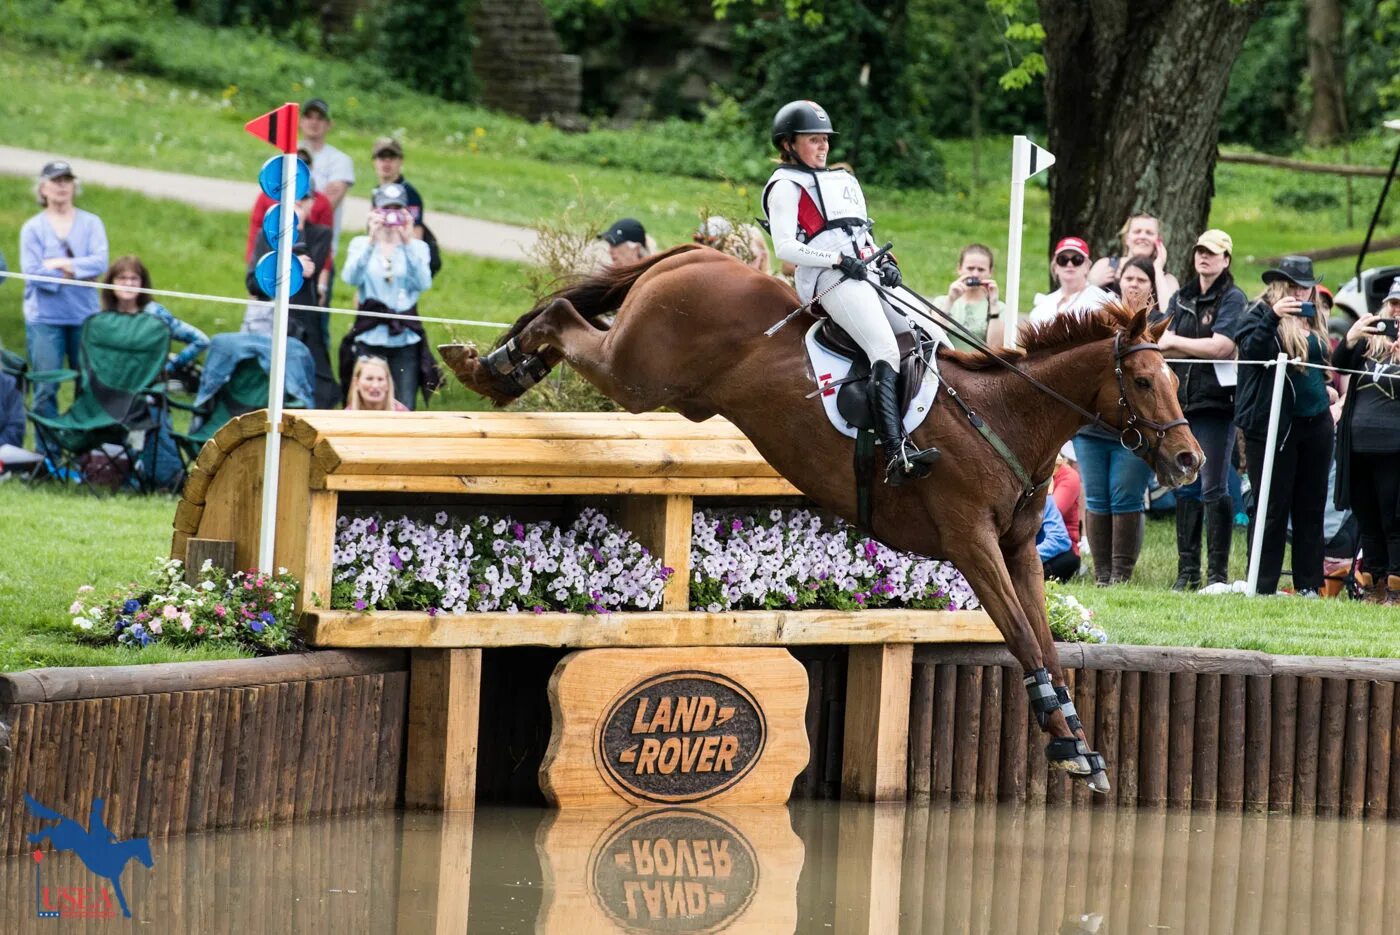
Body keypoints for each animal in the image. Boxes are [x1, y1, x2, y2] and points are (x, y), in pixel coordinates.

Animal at [445, 244, 1204, 795]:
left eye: (1176, 379)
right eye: (1144, 381)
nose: (1191, 460)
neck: (1006, 415)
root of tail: (695, 253)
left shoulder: (1018, 551)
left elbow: (1044, 643)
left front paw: (1080, 747)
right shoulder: (972, 544)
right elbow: (1022, 639)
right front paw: (1070, 748)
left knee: (568, 322)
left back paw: (497, 368)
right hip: (636, 373)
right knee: (564, 321)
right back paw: (494, 368)